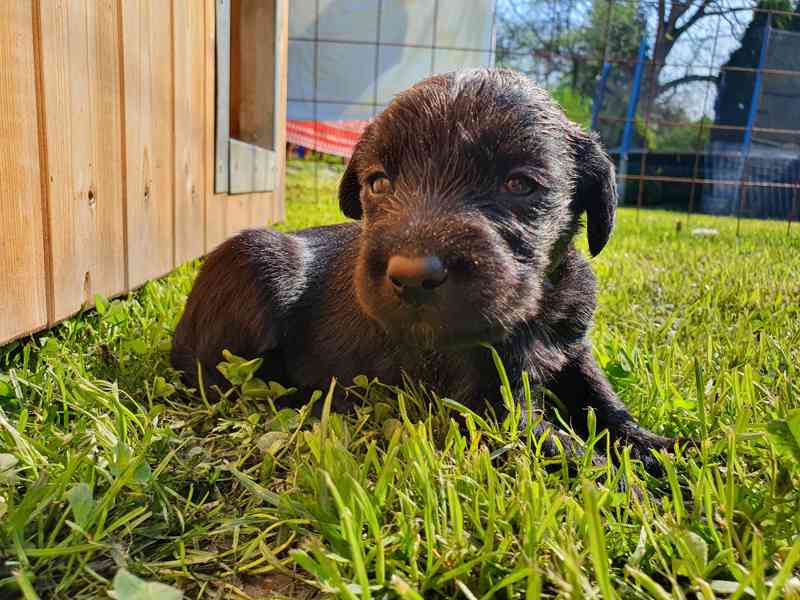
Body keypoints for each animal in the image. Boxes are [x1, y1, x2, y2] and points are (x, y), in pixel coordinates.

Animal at [172, 69, 680, 474]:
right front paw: (644, 493)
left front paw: (663, 449)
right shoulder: (492, 407)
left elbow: (606, 404)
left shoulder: (574, 351)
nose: (414, 275)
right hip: (255, 261)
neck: (535, 310)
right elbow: (574, 452)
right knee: (213, 375)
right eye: (378, 183)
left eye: (519, 184)